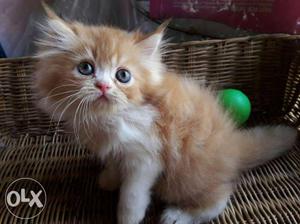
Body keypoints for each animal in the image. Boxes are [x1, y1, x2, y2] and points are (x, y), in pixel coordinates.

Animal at [34, 4, 296, 224]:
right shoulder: (115, 148)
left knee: (218, 199)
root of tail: (233, 146)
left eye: (122, 76)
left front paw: (128, 218)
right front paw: (109, 179)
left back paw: (178, 216)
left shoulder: (146, 156)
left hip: (188, 176)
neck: (111, 116)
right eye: (85, 68)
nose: (103, 86)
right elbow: (114, 164)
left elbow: (132, 194)